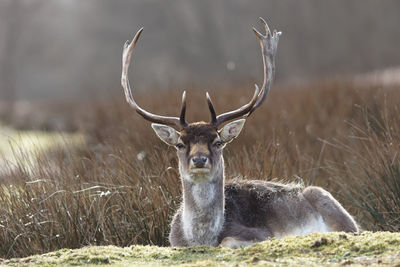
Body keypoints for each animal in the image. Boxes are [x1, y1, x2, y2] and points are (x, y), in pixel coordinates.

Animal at [120, 17, 358, 250]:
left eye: (217, 142)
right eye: (180, 143)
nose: (199, 159)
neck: (200, 238)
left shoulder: (262, 233)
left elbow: (228, 241)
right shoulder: (173, 242)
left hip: (332, 206)